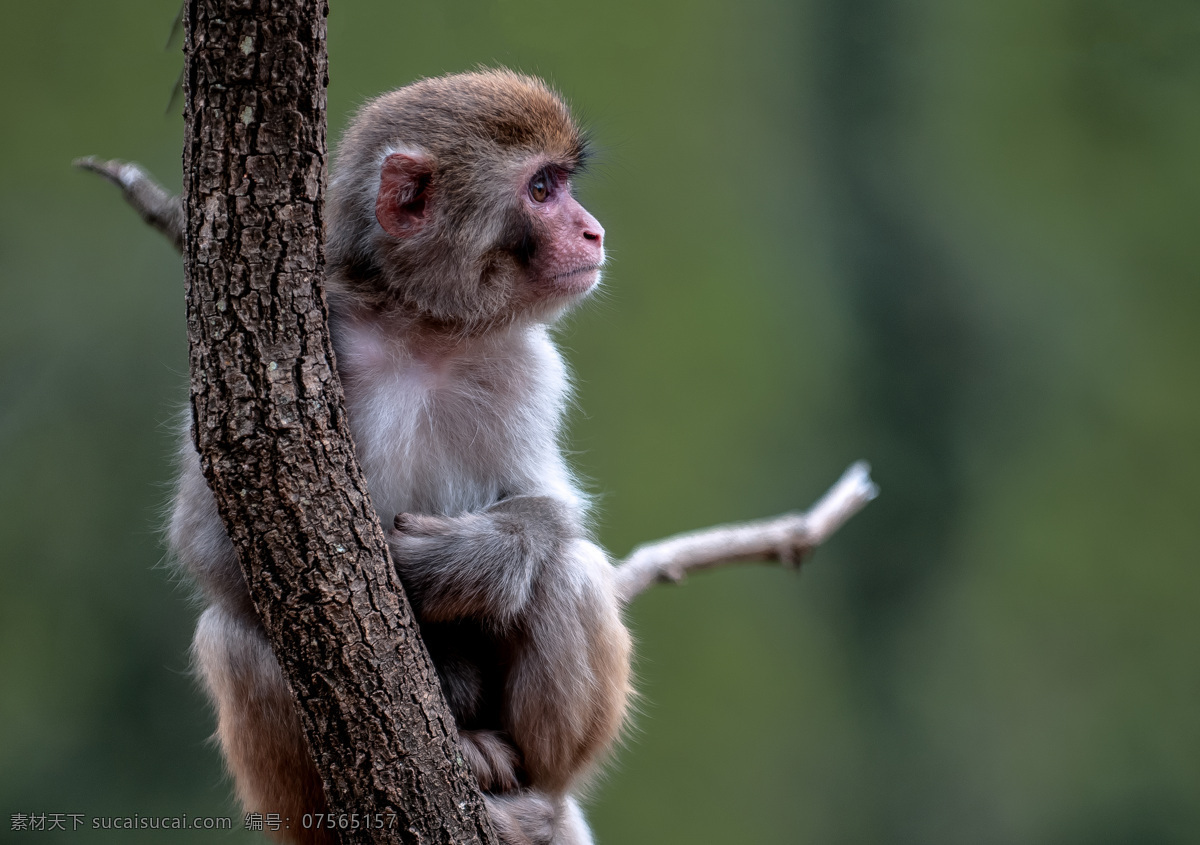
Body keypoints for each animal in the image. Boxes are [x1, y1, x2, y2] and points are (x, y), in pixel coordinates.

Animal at [174, 72, 638, 845]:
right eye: (542, 189)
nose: (593, 231)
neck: (426, 329)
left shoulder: (529, 365)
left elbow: (552, 506)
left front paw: (474, 560)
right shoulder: (300, 342)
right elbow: (211, 541)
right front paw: (446, 672)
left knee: (569, 569)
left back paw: (534, 802)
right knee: (234, 631)